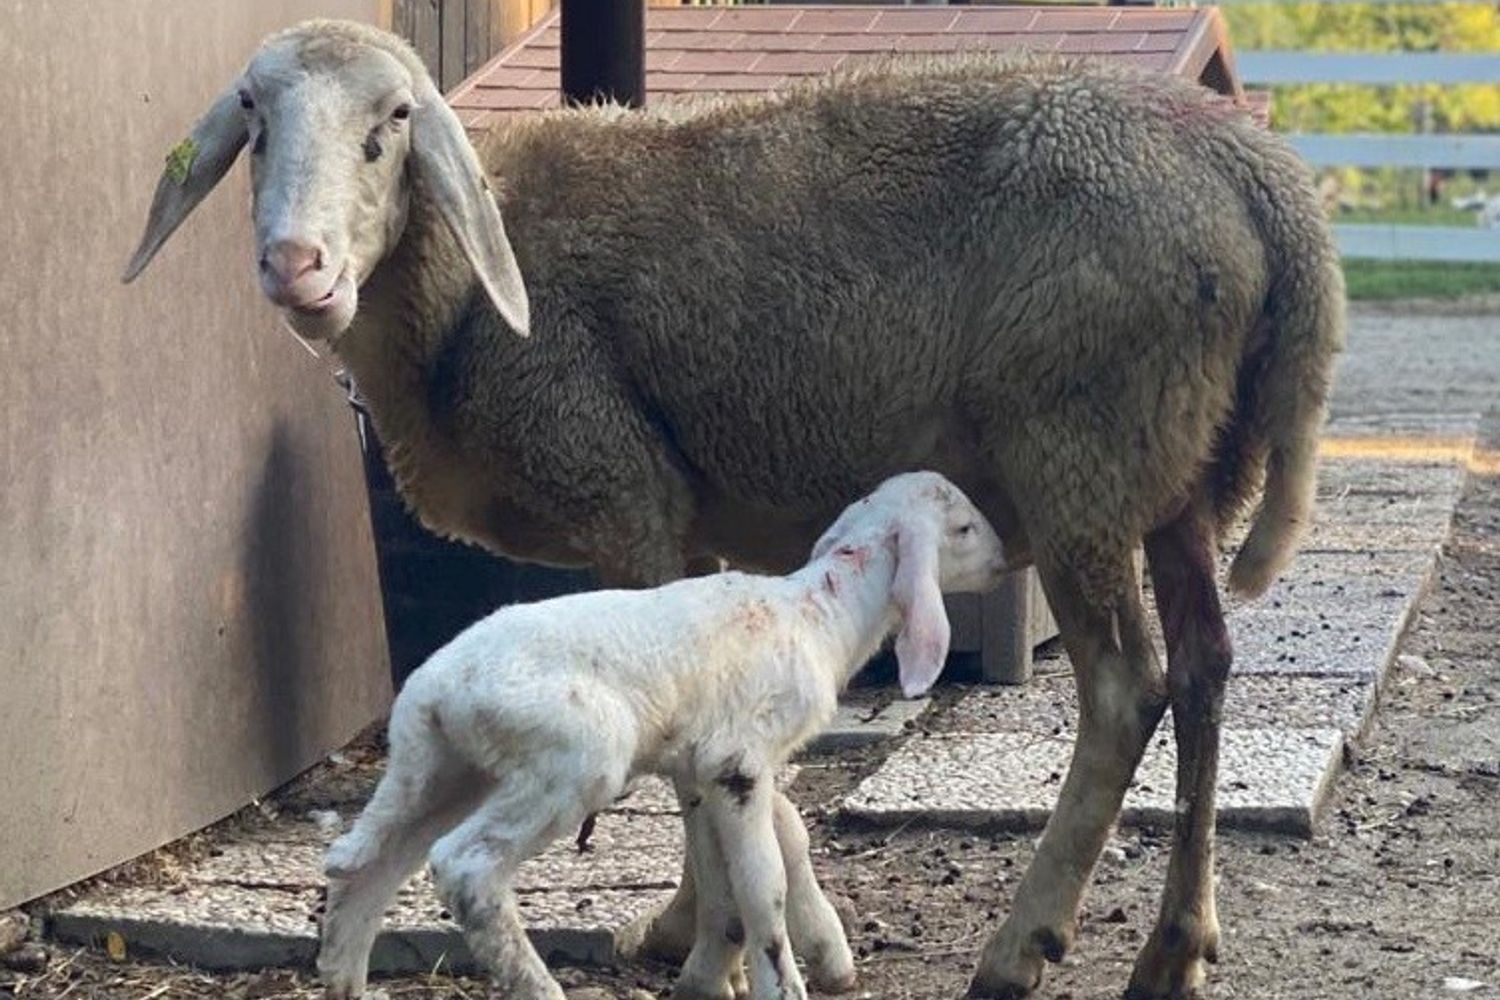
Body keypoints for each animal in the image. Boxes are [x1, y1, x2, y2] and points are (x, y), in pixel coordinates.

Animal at [315, 471, 1007, 1000]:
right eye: (964, 529)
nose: (1006, 563)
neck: (820, 615)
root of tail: (432, 691)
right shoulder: (739, 760)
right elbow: (761, 885)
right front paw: (782, 981)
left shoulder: (698, 769)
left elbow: (734, 868)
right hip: (570, 756)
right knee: (466, 867)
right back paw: (537, 986)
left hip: (443, 768)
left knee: (362, 863)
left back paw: (346, 981)